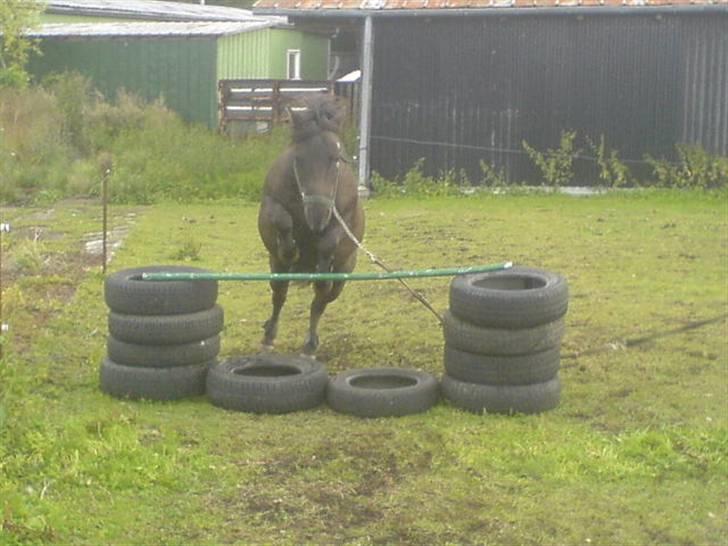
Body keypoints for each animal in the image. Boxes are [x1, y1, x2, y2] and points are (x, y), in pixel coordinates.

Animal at [257, 95, 365, 356]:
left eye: (336, 159)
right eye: (298, 158)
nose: (317, 217)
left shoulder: (343, 218)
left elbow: (328, 244)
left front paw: (320, 263)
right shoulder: (269, 205)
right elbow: (282, 219)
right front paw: (290, 250)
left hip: (343, 274)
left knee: (321, 299)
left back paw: (310, 343)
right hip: (275, 265)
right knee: (280, 293)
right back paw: (269, 334)